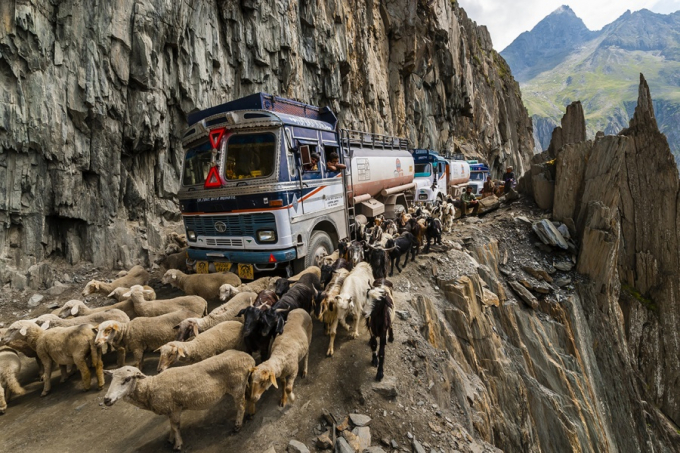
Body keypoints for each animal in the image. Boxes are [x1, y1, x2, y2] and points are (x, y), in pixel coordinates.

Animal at [103, 348, 255, 446]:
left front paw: (178, 444)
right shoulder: (170, 409)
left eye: (127, 379)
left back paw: (237, 426)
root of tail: (249, 359)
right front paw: (171, 439)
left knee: (241, 406)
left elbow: (175, 426)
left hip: (237, 386)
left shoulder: (174, 408)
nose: (106, 400)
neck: (150, 388)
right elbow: (171, 425)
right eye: (112, 379)